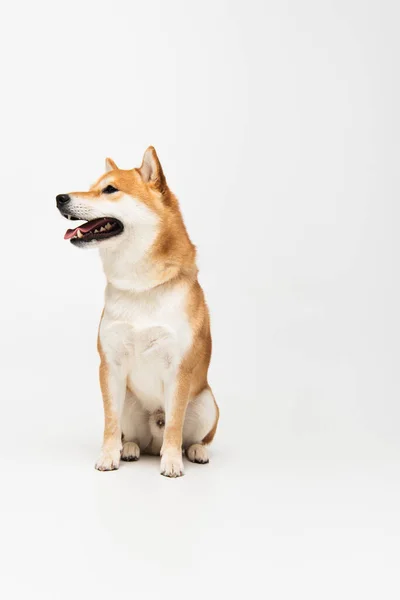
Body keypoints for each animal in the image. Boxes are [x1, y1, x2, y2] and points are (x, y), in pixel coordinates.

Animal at [56, 148, 219, 476]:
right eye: (92, 187)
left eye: (110, 190)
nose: (60, 198)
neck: (140, 285)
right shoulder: (110, 366)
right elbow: (110, 422)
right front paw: (109, 456)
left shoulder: (178, 369)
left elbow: (174, 425)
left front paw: (172, 462)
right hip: (131, 403)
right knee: (131, 436)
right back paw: (129, 449)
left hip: (208, 402)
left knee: (191, 436)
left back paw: (194, 451)